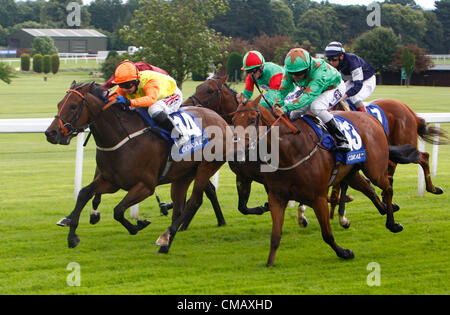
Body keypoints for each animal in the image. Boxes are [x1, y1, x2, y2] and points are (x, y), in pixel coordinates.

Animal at [45, 82, 234, 252]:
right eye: (59, 104)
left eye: (73, 106)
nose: (50, 133)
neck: (124, 138)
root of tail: (220, 119)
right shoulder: (111, 181)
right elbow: (84, 193)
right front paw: (72, 236)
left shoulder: (145, 186)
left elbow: (118, 210)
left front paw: (138, 225)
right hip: (183, 175)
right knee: (180, 207)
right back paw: (167, 243)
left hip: (206, 167)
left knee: (194, 200)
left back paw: (165, 237)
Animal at [232, 95, 418, 266]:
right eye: (233, 119)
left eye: (252, 119)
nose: (236, 150)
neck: (290, 150)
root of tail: (371, 118)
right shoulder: (276, 197)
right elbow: (275, 235)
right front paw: (269, 263)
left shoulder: (318, 197)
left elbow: (327, 234)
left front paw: (344, 252)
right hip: (351, 172)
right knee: (368, 188)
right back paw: (384, 208)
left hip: (375, 169)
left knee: (387, 188)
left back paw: (392, 223)